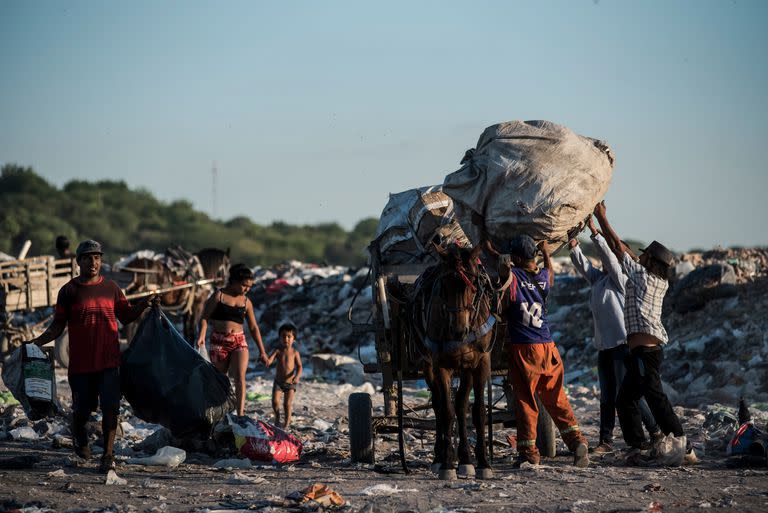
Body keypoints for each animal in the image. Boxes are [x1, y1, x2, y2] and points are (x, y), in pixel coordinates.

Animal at [414, 242, 498, 478]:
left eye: (473, 286)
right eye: (443, 287)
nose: (459, 331)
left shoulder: (481, 362)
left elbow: (476, 411)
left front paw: (483, 463)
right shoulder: (440, 364)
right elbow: (447, 411)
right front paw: (447, 464)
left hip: (465, 367)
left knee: (461, 405)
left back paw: (466, 459)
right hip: (427, 365)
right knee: (439, 405)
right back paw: (440, 456)